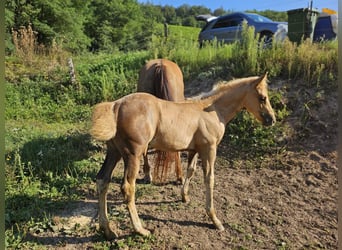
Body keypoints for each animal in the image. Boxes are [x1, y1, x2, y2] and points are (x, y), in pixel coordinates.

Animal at [90, 72, 276, 238]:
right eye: (262, 98)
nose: (272, 120)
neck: (212, 110)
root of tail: (116, 106)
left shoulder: (194, 149)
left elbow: (191, 171)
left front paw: (184, 196)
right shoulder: (209, 149)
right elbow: (209, 179)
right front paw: (215, 220)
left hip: (114, 152)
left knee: (102, 180)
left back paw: (107, 230)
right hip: (133, 154)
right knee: (128, 187)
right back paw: (140, 230)